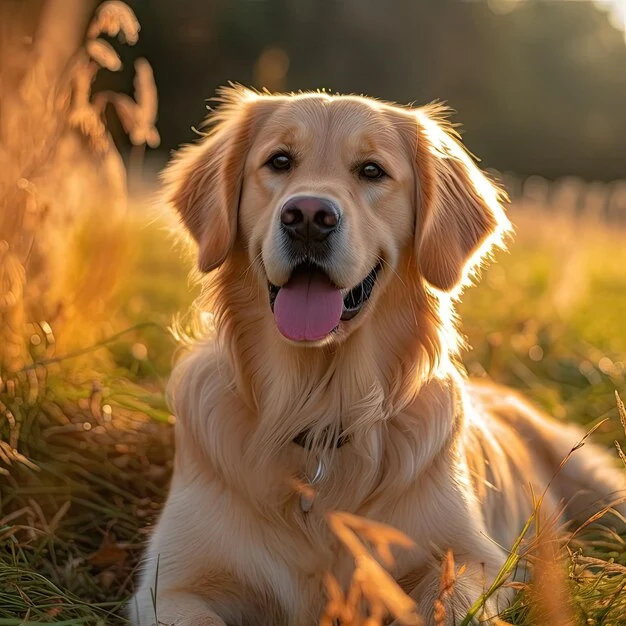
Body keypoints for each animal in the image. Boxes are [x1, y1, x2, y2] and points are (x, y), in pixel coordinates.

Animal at [128, 88, 624, 624]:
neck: (315, 410)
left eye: (371, 170)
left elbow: (446, 604)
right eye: (279, 161)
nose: (307, 216)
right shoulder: (169, 583)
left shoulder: (472, 558)